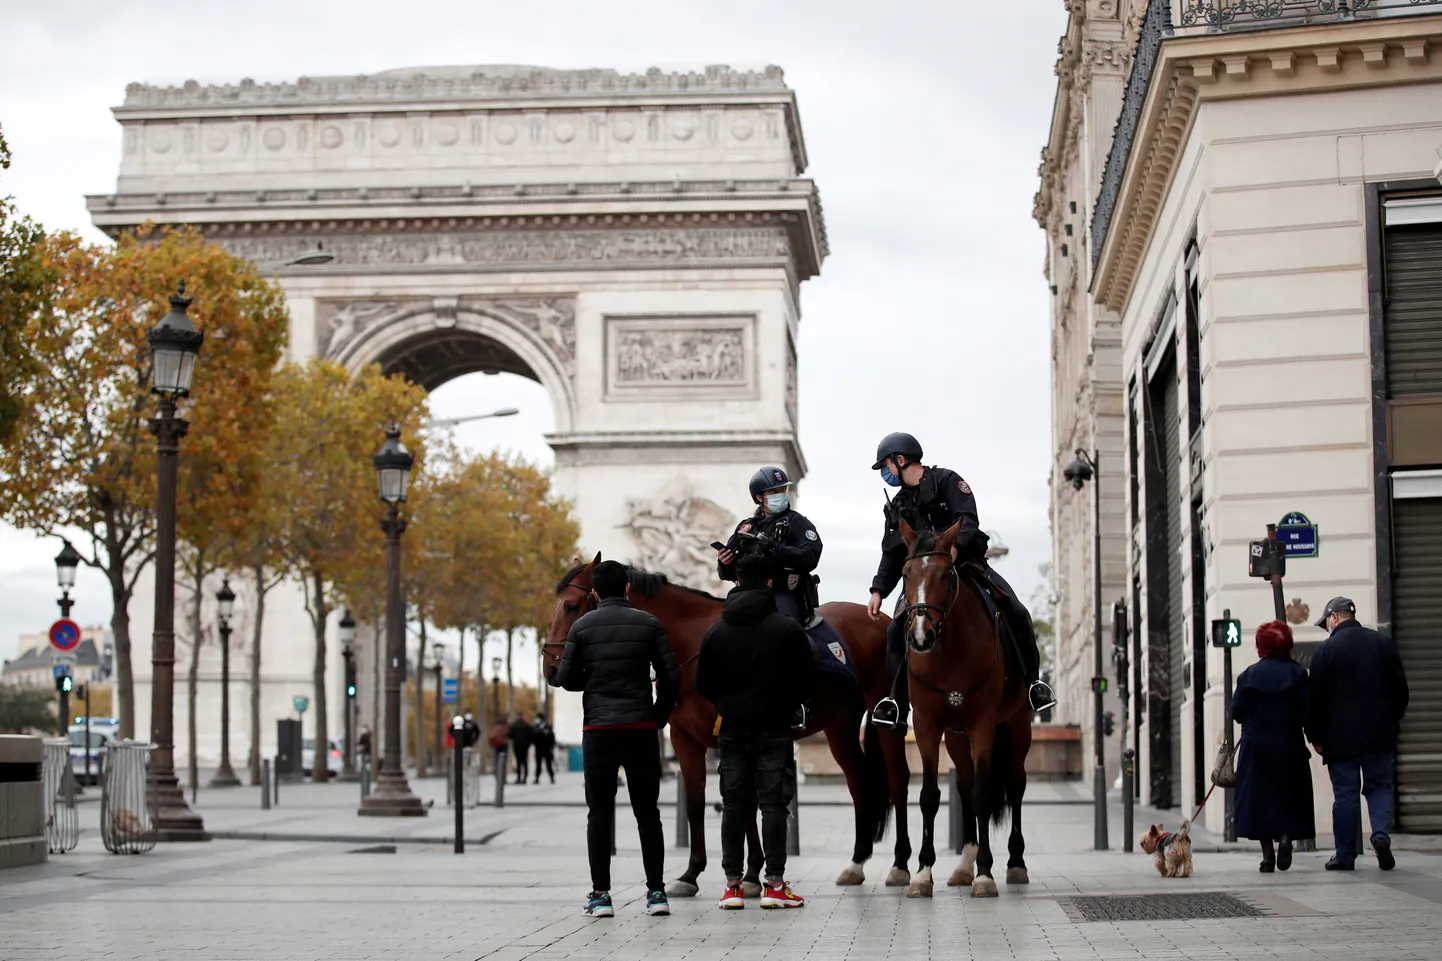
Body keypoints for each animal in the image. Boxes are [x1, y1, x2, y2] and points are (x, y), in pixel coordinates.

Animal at [545, 551, 905, 894]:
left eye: (572, 606)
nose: (551, 669)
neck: (692, 645)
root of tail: (880, 617)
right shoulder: (685, 739)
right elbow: (695, 803)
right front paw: (692, 874)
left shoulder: (736, 733)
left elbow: (746, 802)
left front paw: (751, 873)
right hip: (840, 725)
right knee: (860, 784)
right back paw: (856, 863)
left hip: (884, 714)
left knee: (897, 780)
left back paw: (900, 866)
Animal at [894, 519, 1032, 894]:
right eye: (906, 574)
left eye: (945, 574)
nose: (920, 636)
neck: (949, 649)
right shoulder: (927, 726)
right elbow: (930, 796)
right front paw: (923, 872)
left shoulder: (983, 724)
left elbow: (985, 794)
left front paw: (985, 873)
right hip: (956, 737)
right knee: (966, 787)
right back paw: (964, 865)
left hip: (1017, 726)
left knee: (1015, 785)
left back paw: (1015, 862)